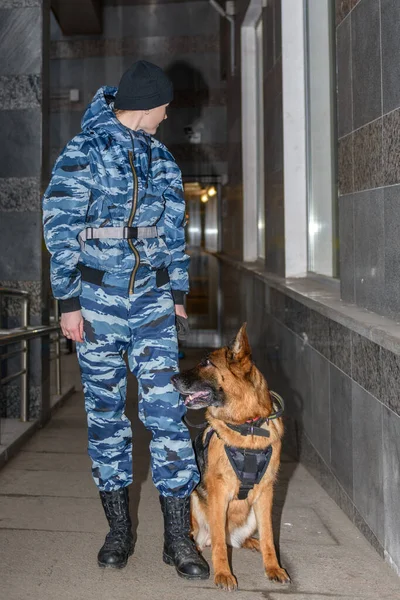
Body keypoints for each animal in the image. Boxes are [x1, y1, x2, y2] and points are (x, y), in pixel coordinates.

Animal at [172, 324, 290, 592]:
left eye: (206, 362)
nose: (171, 378)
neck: (247, 426)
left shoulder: (266, 492)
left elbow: (269, 536)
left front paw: (273, 567)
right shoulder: (218, 492)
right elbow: (218, 543)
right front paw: (223, 573)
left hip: (252, 515)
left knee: (235, 541)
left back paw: (251, 542)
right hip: (194, 501)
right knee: (210, 539)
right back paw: (194, 552)